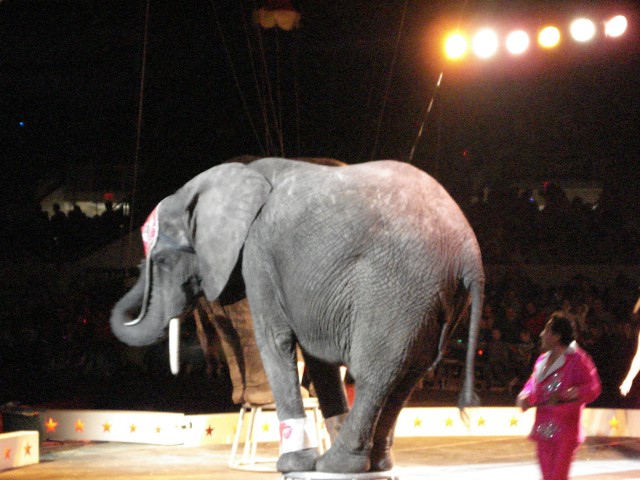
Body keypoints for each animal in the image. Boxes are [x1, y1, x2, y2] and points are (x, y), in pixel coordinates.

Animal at [110, 157, 484, 474]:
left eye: (162, 261)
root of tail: (470, 254)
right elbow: (318, 359)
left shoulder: (258, 253)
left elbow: (275, 341)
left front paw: (293, 465)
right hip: (438, 299)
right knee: (409, 375)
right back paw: (374, 464)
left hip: (399, 286)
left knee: (376, 374)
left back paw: (338, 465)